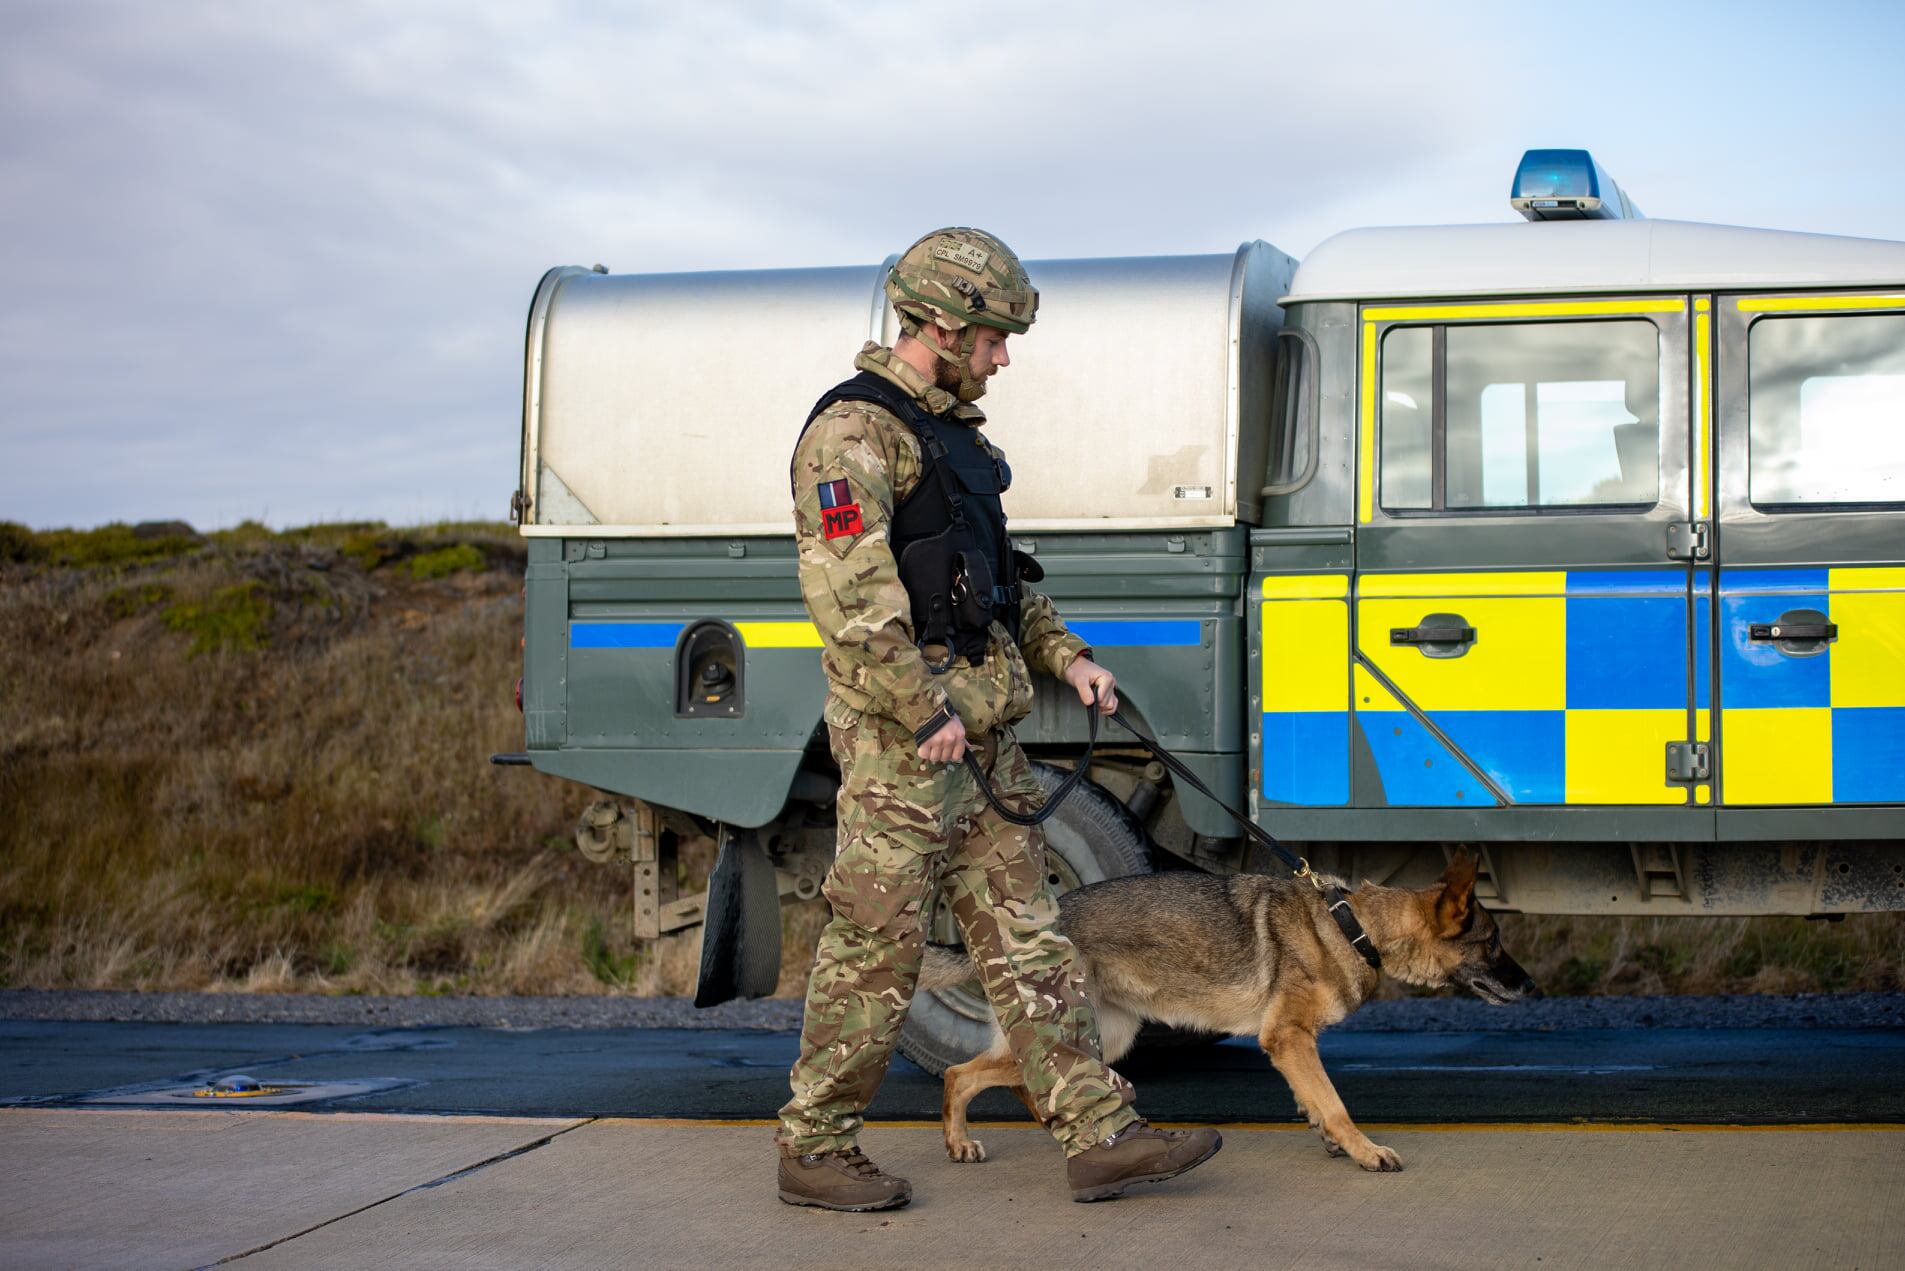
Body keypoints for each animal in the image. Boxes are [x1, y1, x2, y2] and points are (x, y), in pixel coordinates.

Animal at [918, 853, 1531, 1173]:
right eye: (1494, 943)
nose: (1530, 986)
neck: (1351, 925)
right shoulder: (1289, 1038)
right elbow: (1335, 1105)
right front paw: (1365, 1150)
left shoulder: (1294, 1046)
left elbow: (1315, 1101)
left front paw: (1333, 1140)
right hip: (1080, 1035)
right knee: (960, 1075)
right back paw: (959, 1142)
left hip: (1104, 1040)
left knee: (1025, 1081)